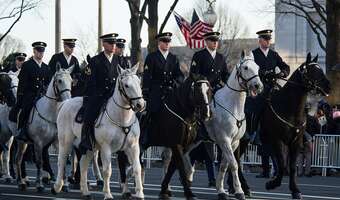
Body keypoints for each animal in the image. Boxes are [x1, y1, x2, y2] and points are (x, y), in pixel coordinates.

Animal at [52, 64, 145, 200]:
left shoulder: (133, 147)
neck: (121, 117)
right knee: (61, 160)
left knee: (83, 164)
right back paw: (58, 186)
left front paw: (139, 193)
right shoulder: (106, 147)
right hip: (65, 141)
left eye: (139, 82)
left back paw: (85, 191)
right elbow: (107, 171)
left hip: (89, 146)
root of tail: (66, 103)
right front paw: (107, 194)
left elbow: (137, 168)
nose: (140, 104)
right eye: (126, 85)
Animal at [183, 50, 262, 199]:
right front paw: (239, 191)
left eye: (258, 67)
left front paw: (221, 190)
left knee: (185, 155)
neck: (233, 105)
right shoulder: (224, 140)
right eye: (245, 68)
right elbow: (234, 164)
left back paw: (188, 178)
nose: (258, 86)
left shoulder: (234, 142)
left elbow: (225, 166)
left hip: (195, 141)